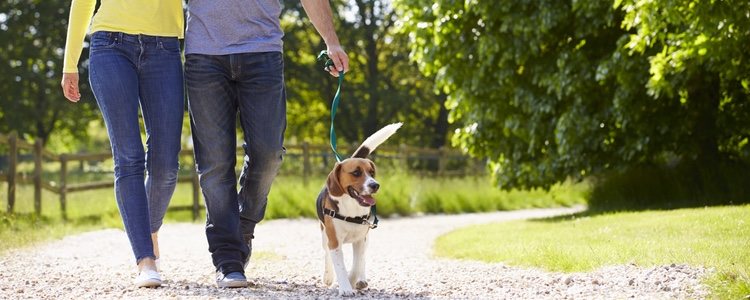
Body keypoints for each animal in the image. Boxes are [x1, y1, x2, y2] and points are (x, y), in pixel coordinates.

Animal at [316, 123, 402, 296]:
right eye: (356, 173)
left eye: (372, 172)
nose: (375, 185)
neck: (351, 208)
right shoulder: (334, 241)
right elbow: (339, 266)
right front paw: (345, 288)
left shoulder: (360, 240)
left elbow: (357, 264)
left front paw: (352, 280)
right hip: (324, 235)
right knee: (326, 253)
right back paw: (328, 276)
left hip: (367, 237)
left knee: (362, 260)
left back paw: (361, 280)